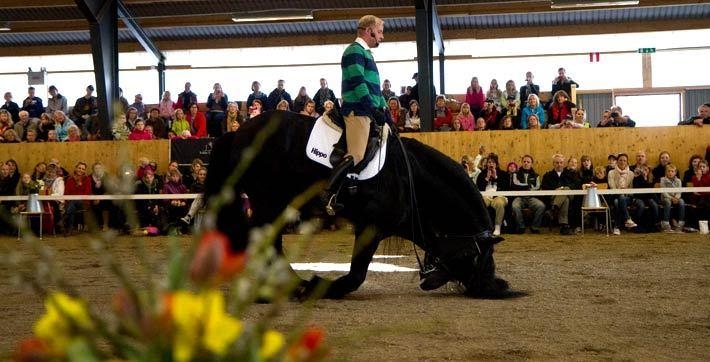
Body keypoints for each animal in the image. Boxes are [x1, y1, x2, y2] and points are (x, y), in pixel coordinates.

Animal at [206, 111, 512, 300]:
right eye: (473, 256)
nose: (486, 286)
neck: (408, 176)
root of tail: (239, 132)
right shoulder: (371, 227)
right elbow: (356, 275)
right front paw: (318, 286)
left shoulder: (408, 223)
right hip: (270, 203)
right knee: (261, 240)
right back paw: (287, 285)